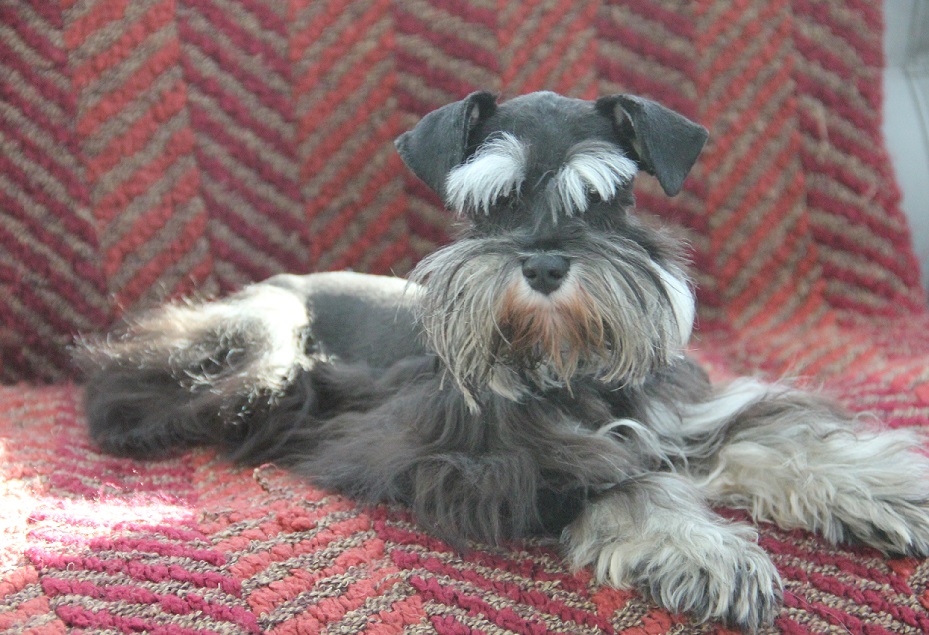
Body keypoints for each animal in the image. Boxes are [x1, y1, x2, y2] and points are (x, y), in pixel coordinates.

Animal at [78, 90, 928, 632]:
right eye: (492, 204)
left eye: (603, 201)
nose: (545, 264)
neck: (564, 362)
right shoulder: (480, 463)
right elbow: (616, 478)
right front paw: (705, 549)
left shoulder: (679, 412)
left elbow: (776, 437)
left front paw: (887, 486)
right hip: (260, 341)